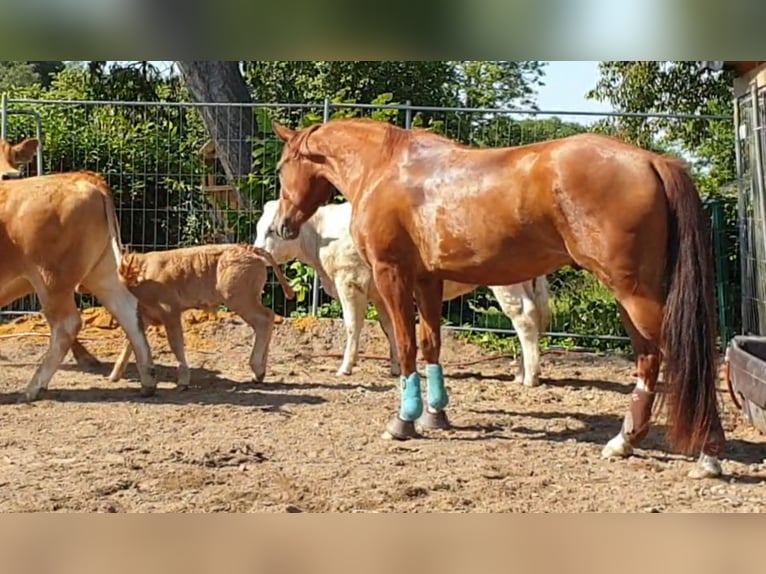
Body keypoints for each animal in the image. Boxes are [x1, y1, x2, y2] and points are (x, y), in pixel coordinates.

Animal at [269, 117, 726, 479]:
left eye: (280, 167)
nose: (282, 225)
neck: (387, 168)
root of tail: (652, 161)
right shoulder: (428, 280)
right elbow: (432, 344)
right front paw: (436, 414)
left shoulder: (393, 275)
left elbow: (406, 344)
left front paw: (404, 420)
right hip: (632, 294)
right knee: (648, 359)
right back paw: (624, 441)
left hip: (632, 292)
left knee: (687, 356)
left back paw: (709, 454)